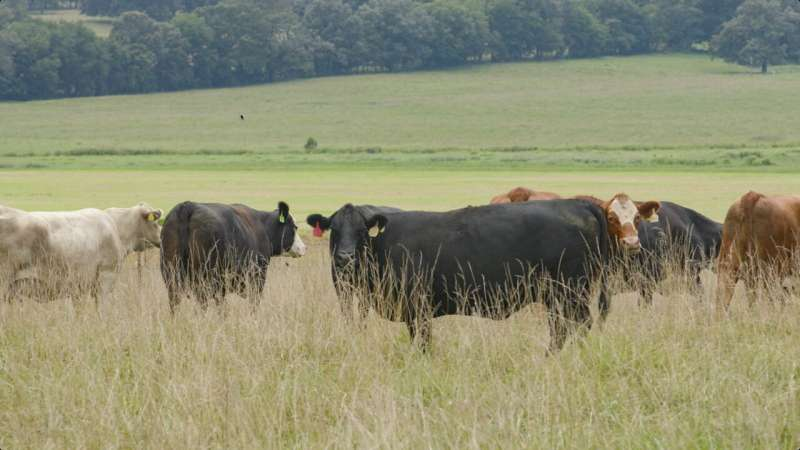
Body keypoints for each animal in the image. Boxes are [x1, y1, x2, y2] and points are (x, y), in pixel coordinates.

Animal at [159, 201, 306, 313]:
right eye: (295, 227)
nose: (304, 248)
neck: (263, 227)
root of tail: (188, 206)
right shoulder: (257, 277)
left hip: (172, 276)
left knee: (175, 303)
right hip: (205, 280)